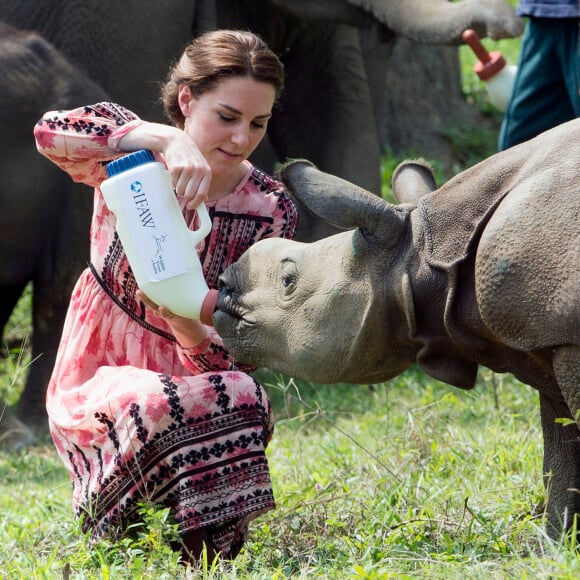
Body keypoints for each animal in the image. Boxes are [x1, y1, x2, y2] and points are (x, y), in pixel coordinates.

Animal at [213, 120, 580, 540]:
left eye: (288, 280)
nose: (222, 287)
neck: (419, 254)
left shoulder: (561, 331)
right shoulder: (545, 334)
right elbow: (561, 458)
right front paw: (553, 544)